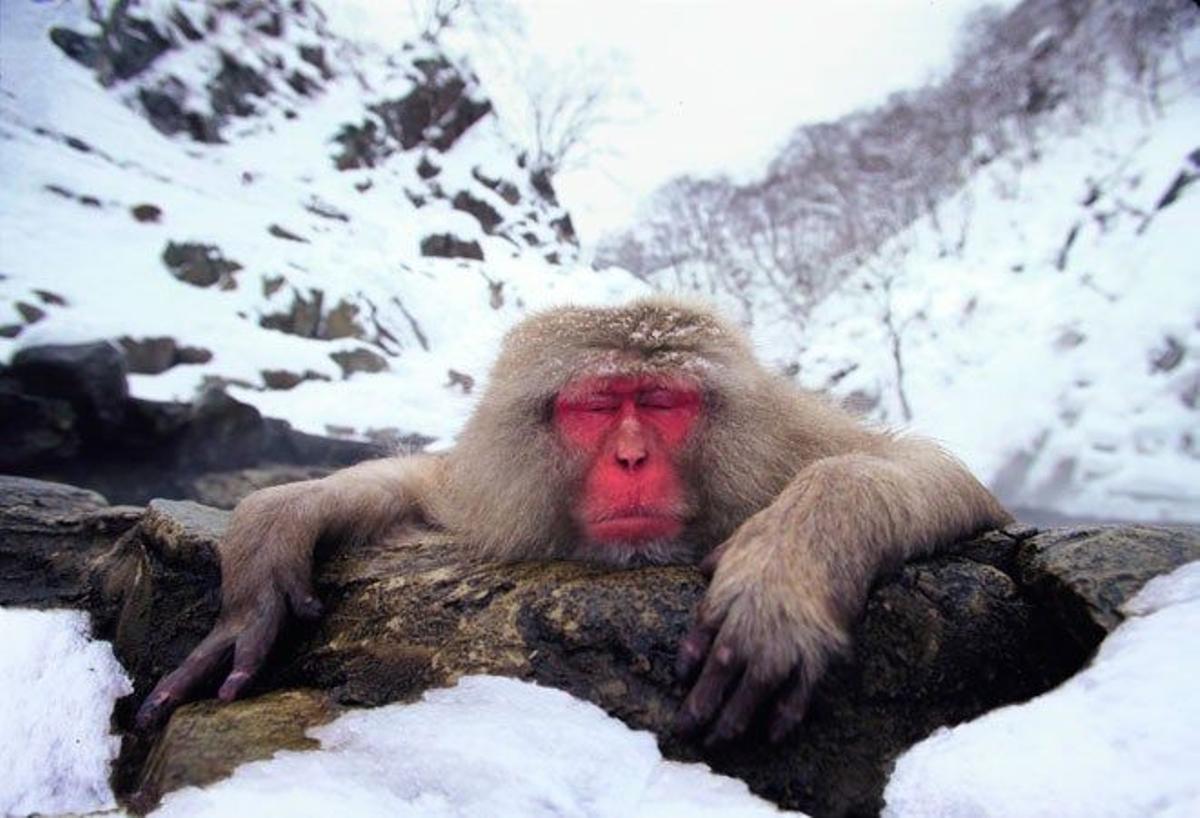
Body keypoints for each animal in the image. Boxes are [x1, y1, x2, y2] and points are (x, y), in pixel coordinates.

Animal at [133, 296, 1012, 743]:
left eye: (659, 401)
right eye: (595, 407)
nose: (630, 458)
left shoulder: (791, 443)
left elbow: (929, 473)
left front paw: (779, 578)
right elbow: (433, 486)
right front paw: (276, 524)